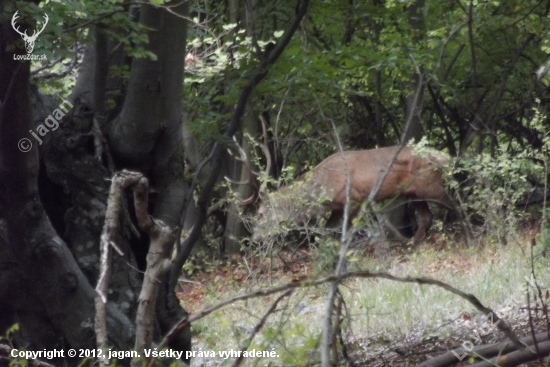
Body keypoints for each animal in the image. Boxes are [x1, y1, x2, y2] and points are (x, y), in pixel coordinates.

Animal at [251, 145, 474, 246]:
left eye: (260, 214)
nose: (254, 238)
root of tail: (446, 157)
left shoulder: (354, 199)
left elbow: (345, 231)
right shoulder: (337, 207)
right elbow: (328, 230)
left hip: (431, 186)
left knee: (459, 206)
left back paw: (470, 237)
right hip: (414, 193)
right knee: (427, 217)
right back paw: (412, 244)